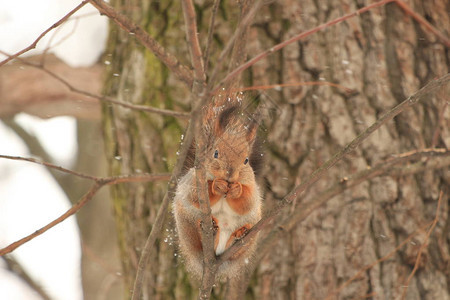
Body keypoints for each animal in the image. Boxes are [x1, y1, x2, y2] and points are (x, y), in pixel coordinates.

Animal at [173, 92, 264, 280]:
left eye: (246, 160)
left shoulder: (252, 187)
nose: (229, 174)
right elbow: (194, 195)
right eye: (215, 153)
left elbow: (247, 201)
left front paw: (237, 190)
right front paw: (216, 185)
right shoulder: (193, 181)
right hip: (187, 224)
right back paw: (210, 228)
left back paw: (239, 235)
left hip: (251, 226)